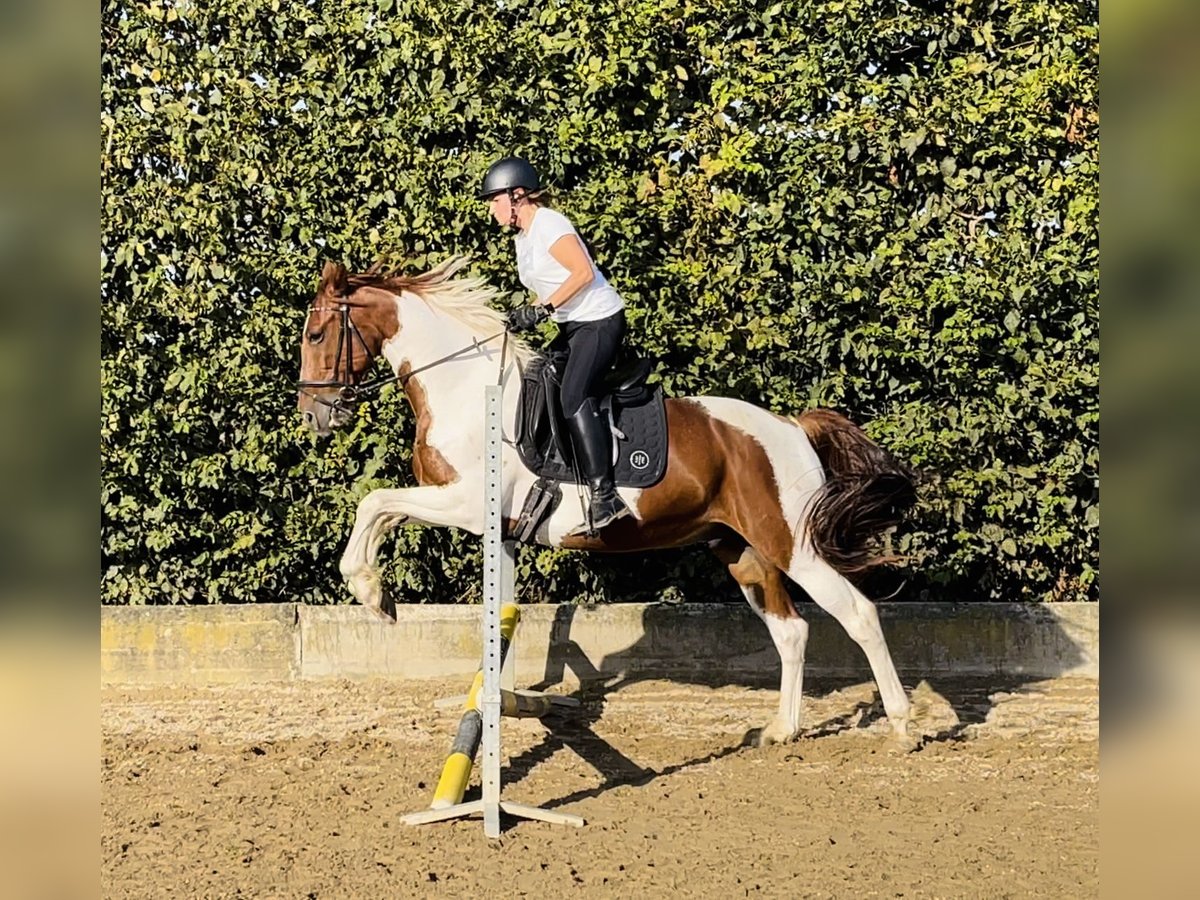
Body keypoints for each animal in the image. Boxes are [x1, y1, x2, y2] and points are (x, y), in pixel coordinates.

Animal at [297, 255, 916, 748]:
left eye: (317, 335)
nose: (313, 416)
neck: (465, 390)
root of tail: (791, 427)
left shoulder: (466, 503)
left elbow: (374, 500)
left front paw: (370, 591)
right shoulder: (470, 512)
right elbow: (388, 515)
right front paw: (379, 596)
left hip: (790, 544)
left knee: (858, 614)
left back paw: (904, 726)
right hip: (741, 549)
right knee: (792, 631)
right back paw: (782, 730)